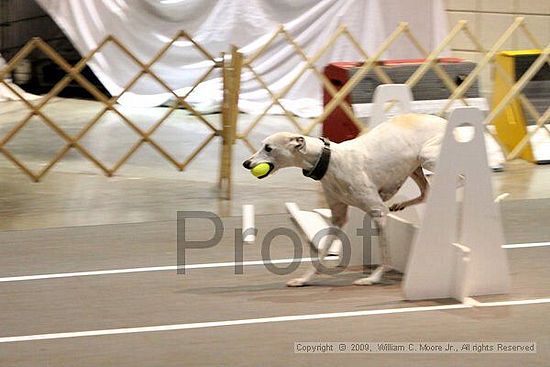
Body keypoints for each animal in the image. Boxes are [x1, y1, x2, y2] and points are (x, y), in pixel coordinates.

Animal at [245, 114, 448, 288]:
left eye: (268, 148)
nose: (246, 163)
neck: (329, 159)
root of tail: (444, 121)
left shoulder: (378, 212)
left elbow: (385, 255)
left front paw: (373, 278)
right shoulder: (338, 217)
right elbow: (321, 253)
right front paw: (304, 279)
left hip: (426, 157)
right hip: (415, 168)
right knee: (426, 191)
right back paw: (401, 204)